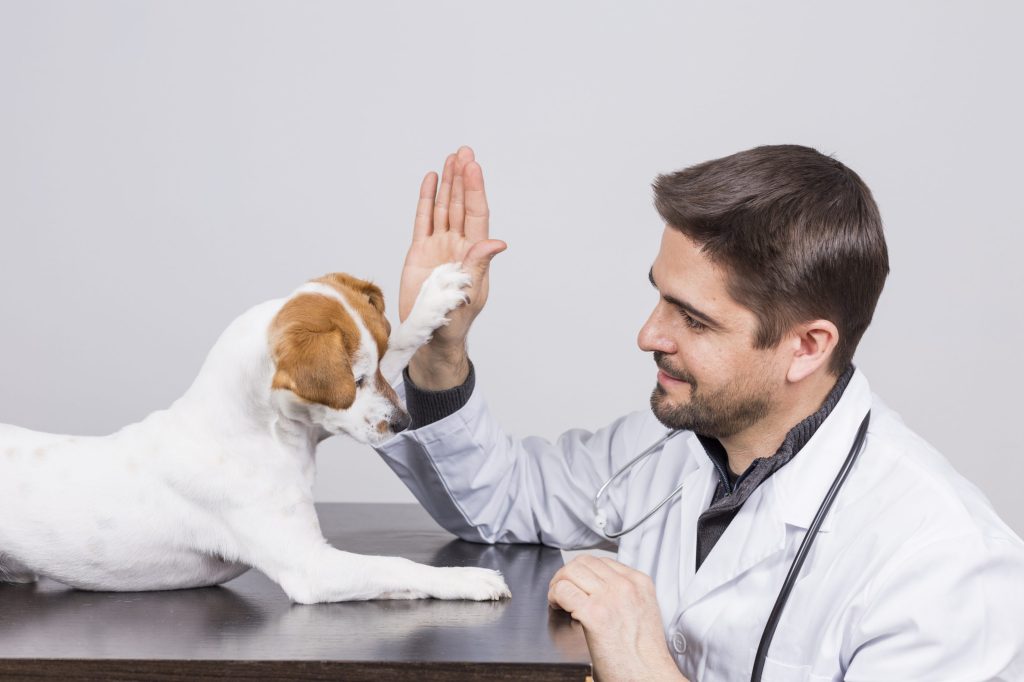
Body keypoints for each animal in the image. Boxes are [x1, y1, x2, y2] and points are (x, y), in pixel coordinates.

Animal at [0, 261, 512, 602]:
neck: (262, 436)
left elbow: (405, 340)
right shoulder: (311, 567)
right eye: (356, 380)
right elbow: (395, 566)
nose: (405, 423)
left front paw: (433, 298)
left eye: (377, 364)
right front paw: (464, 578)